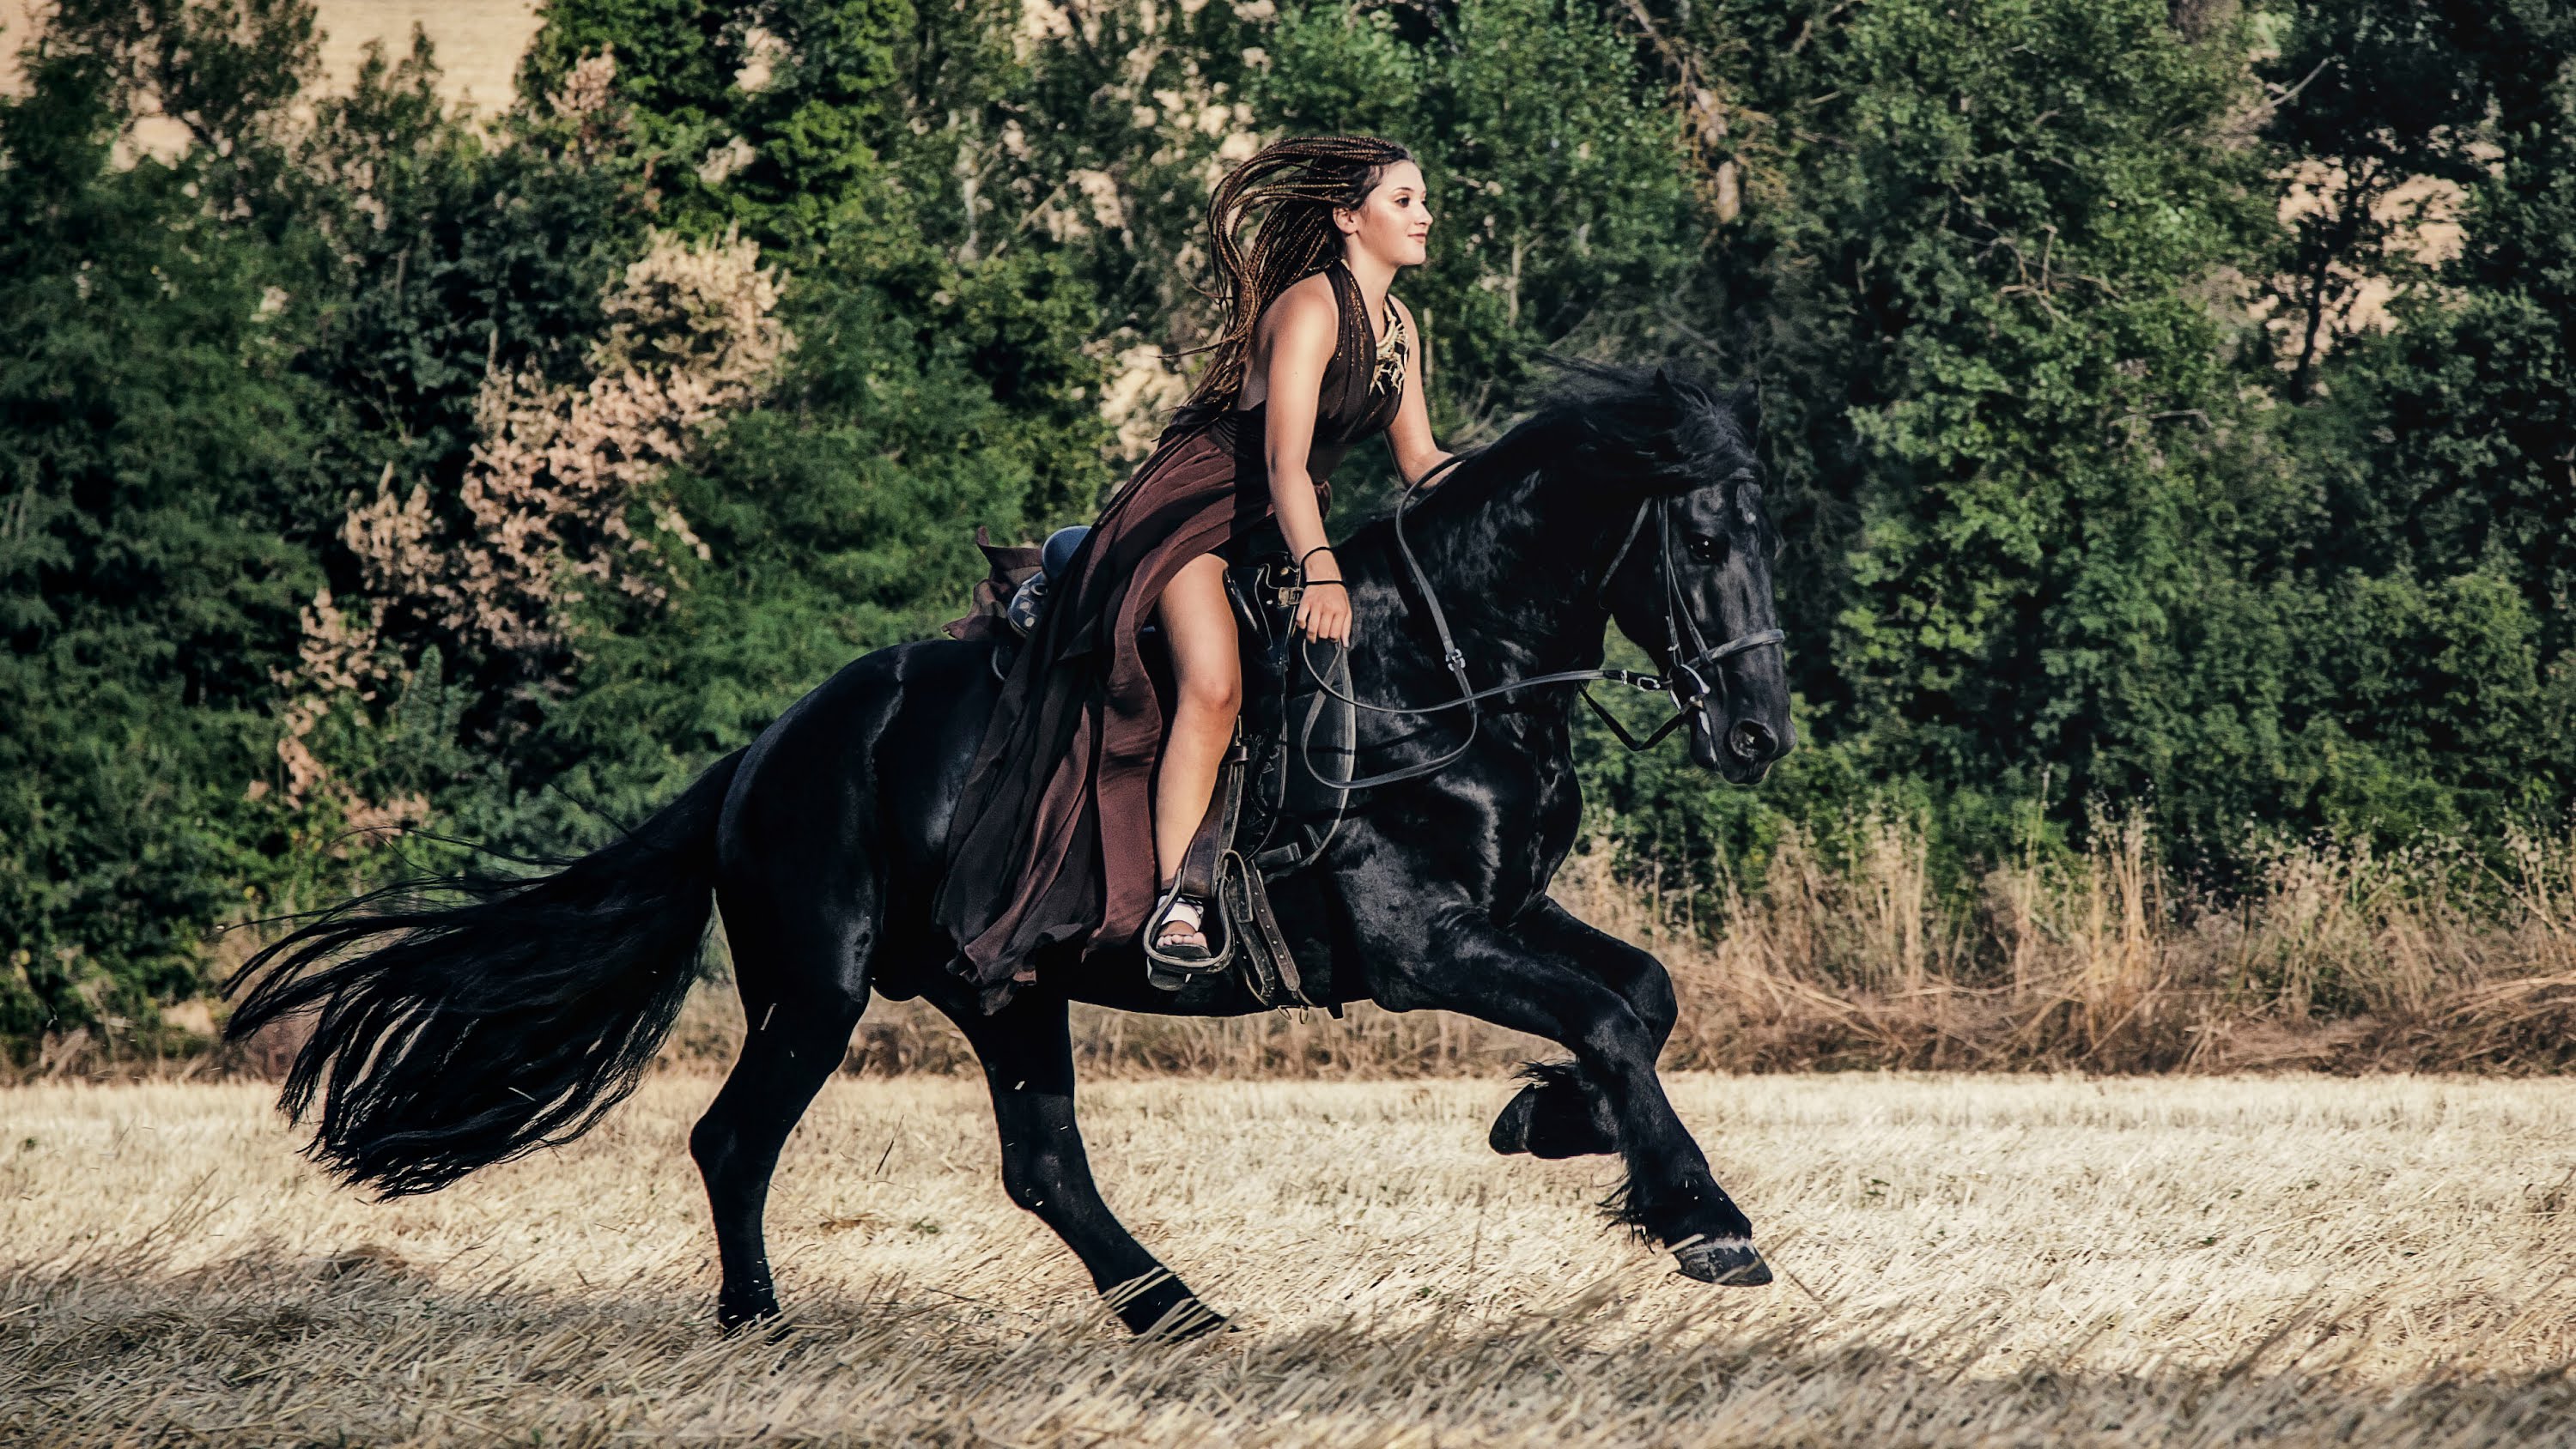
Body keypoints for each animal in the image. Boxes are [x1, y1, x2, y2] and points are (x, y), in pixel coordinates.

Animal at [227, 367, 1793, 1349]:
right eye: (1708, 536)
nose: (1761, 732)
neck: (1439, 666)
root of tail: (770, 748)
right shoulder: (1421, 945)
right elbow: (1609, 1016)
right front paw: (1703, 1220)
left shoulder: (1507, 909)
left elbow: (1640, 998)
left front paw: (1553, 1123)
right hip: (821, 986)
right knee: (737, 1137)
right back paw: (761, 1323)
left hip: (1005, 984)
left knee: (1042, 1164)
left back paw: (1181, 1313)